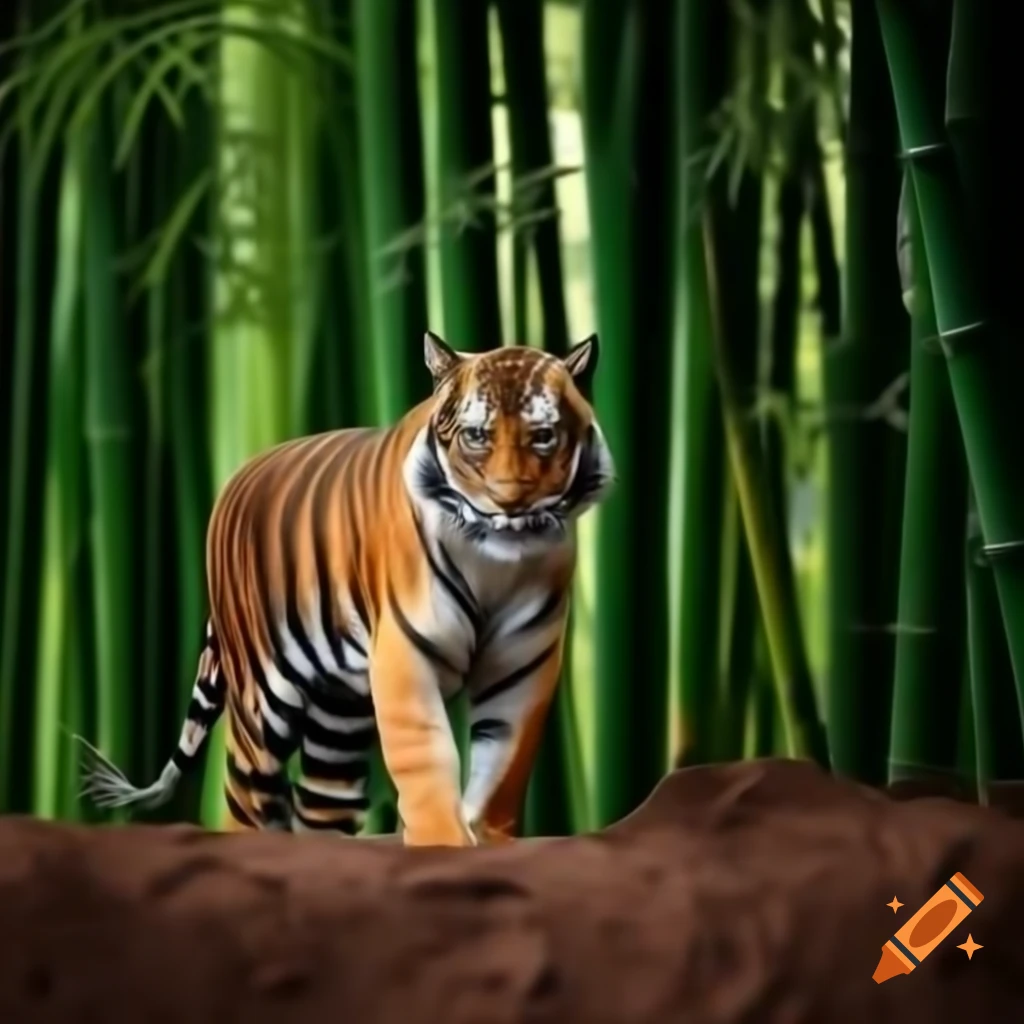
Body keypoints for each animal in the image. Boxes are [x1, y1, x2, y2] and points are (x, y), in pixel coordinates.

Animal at [78, 332, 615, 846]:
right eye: (477, 436)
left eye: (543, 437)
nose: (509, 501)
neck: (495, 567)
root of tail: (234, 480)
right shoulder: (406, 657)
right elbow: (426, 759)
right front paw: (443, 843)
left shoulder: (523, 667)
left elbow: (503, 765)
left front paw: (487, 839)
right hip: (261, 704)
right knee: (246, 799)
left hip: (338, 714)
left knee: (322, 807)